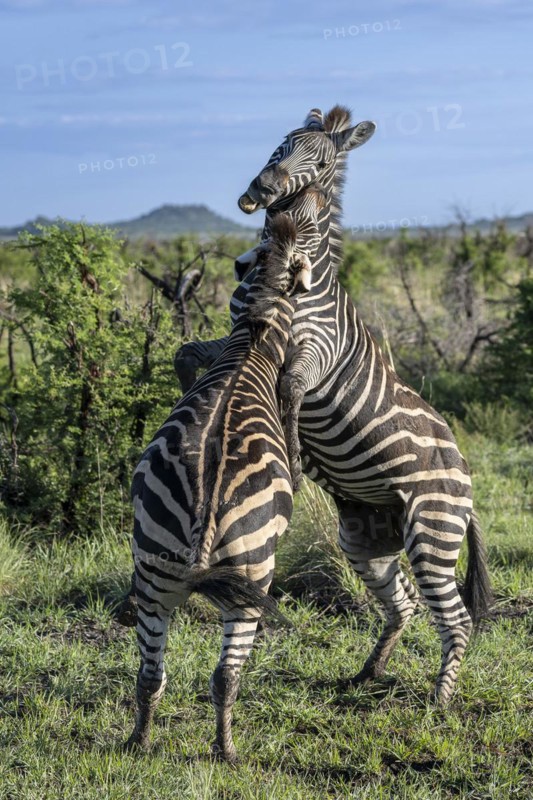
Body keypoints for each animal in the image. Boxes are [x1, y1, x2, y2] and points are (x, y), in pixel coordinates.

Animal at [125, 206, 323, 762]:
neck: (257, 328)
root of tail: (205, 508)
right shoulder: (288, 368)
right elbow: (292, 396)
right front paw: (296, 464)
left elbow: (183, 354)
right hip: (253, 577)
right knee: (227, 676)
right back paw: (227, 751)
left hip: (155, 575)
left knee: (151, 674)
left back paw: (139, 741)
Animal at [175, 105, 492, 705]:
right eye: (280, 145)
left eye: (320, 164)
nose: (260, 191)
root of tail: (464, 471)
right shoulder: (234, 336)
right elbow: (186, 355)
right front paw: (195, 414)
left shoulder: (314, 351)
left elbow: (292, 392)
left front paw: (295, 462)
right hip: (368, 538)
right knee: (403, 603)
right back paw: (367, 674)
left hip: (433, 531)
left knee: (456, 618)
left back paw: (440, 702)